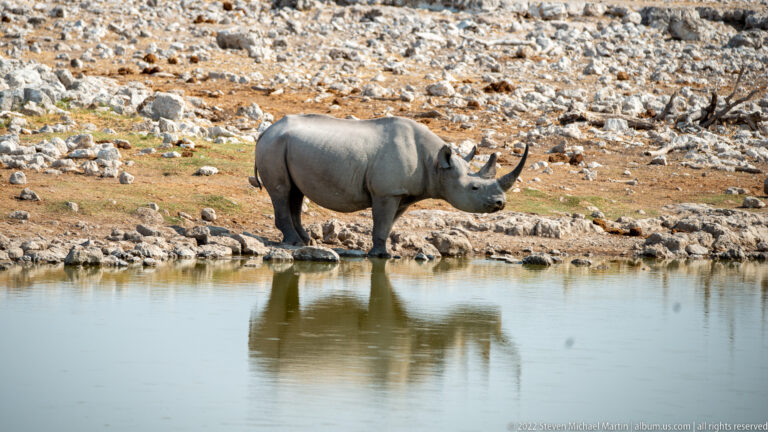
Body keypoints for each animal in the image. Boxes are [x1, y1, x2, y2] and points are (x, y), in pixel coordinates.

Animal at [250, 114, 528, 257]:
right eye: (474, 188)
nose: (500, 203)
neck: (437, 165)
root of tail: (265, 132)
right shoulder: (386, 192)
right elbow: (382, 221)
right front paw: (381, 256)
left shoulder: (402, 194)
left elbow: (388, 223)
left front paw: (385, 250)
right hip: (274, 146)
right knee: (282, 191)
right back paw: (295, 244)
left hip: (285, 146)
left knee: (295, 193)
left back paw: (305, 241)